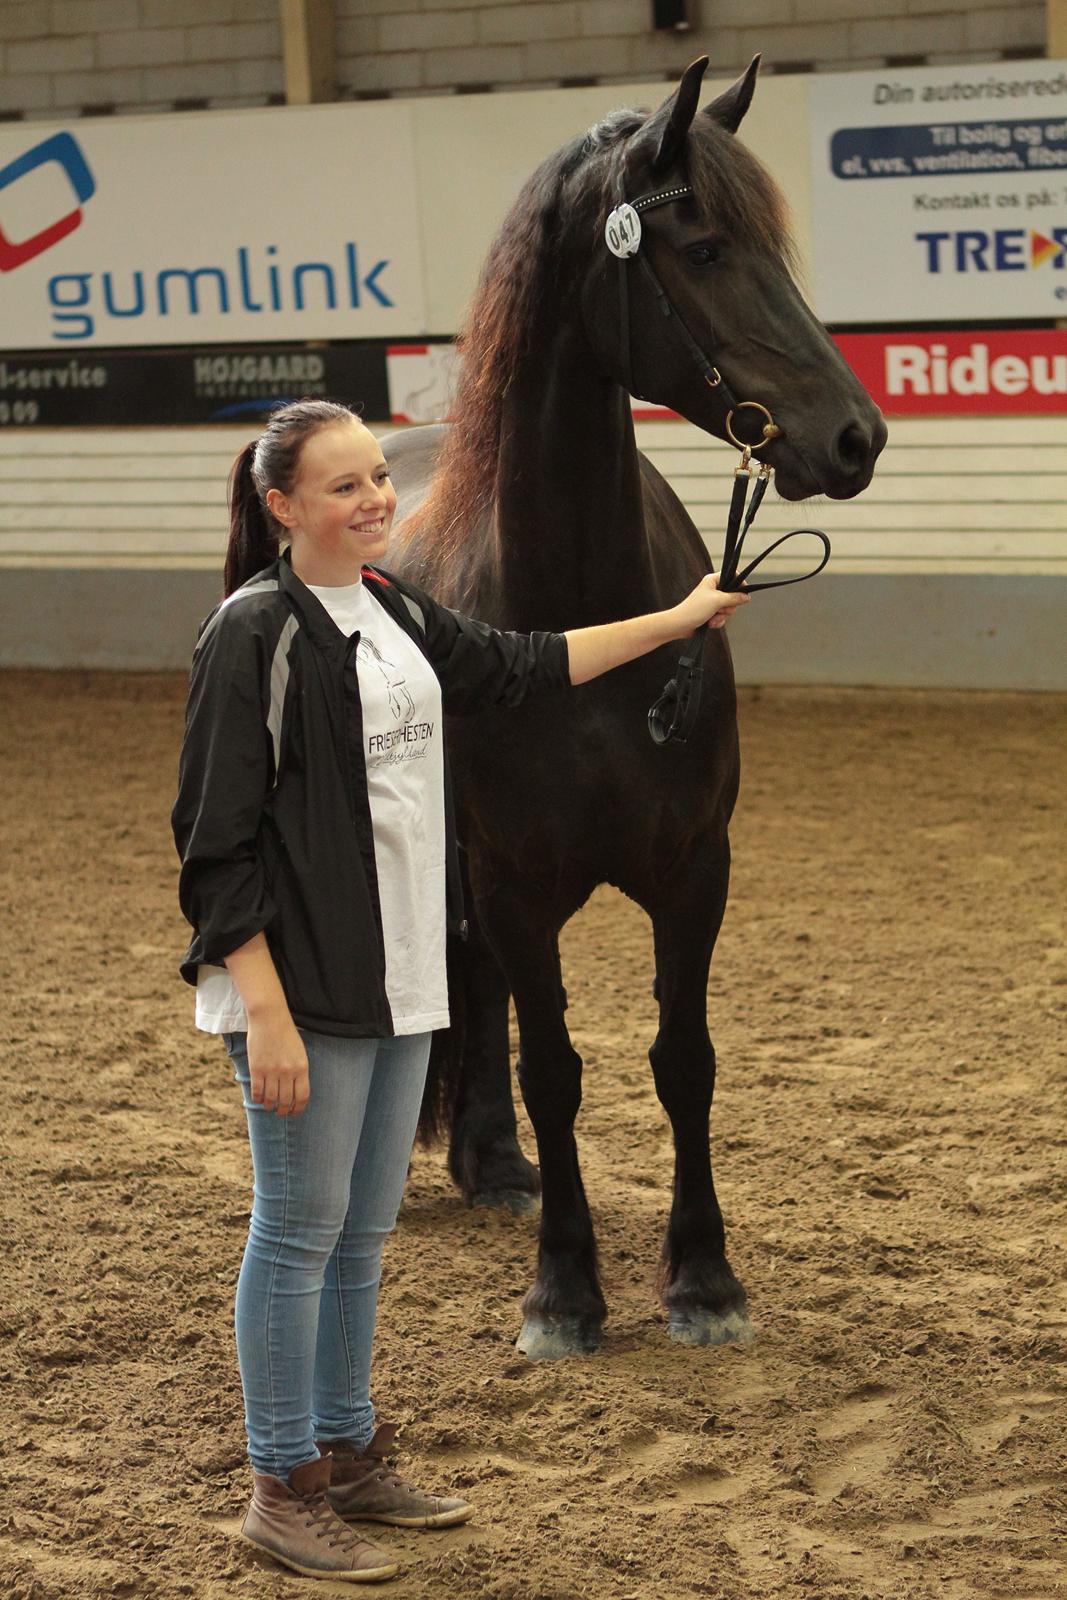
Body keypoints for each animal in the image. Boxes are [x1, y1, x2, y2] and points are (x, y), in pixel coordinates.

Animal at [383, 65, 883, 1363]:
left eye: (771, 248)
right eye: (702, 248)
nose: (855, 435)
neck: (575, 629)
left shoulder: (693, 868)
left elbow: (683, 1059)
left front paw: (701, 1274)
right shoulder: (514, 879)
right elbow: (557, 1064)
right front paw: (564, 1287)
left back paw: (493, 1162)